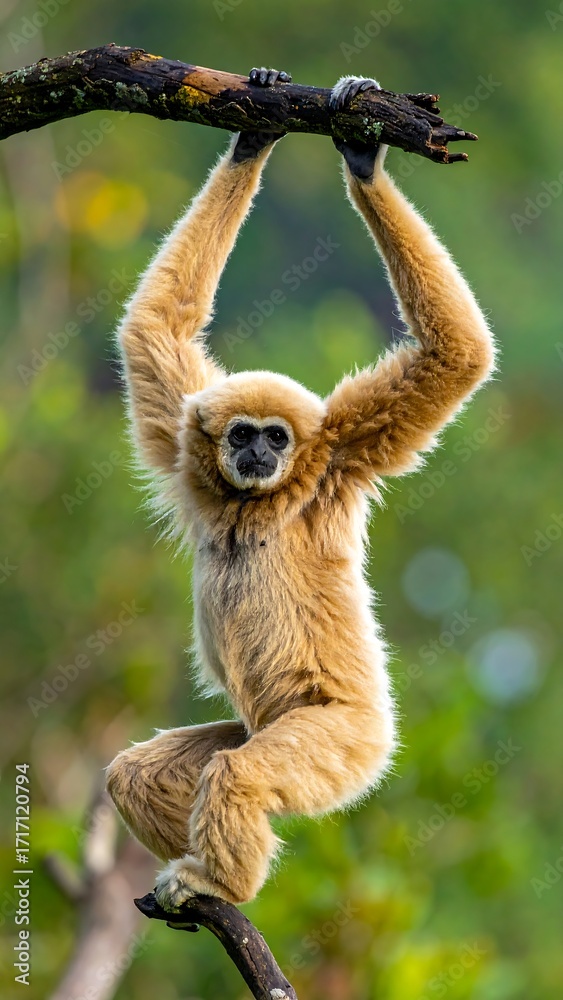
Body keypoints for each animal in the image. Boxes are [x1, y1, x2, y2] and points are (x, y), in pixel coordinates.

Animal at [106, 69, 495, 910]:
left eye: (277, 438)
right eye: (240, 435)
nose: (256, 450)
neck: (252, 501)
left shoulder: (337, 456)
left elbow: (453, 354)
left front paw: (364, 157)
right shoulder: (186, 449)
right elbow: (155, 328)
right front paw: (255, 132)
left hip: (340, 740)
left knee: (240, 770)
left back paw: (219, 881)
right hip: (263, 729)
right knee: (138, 773)